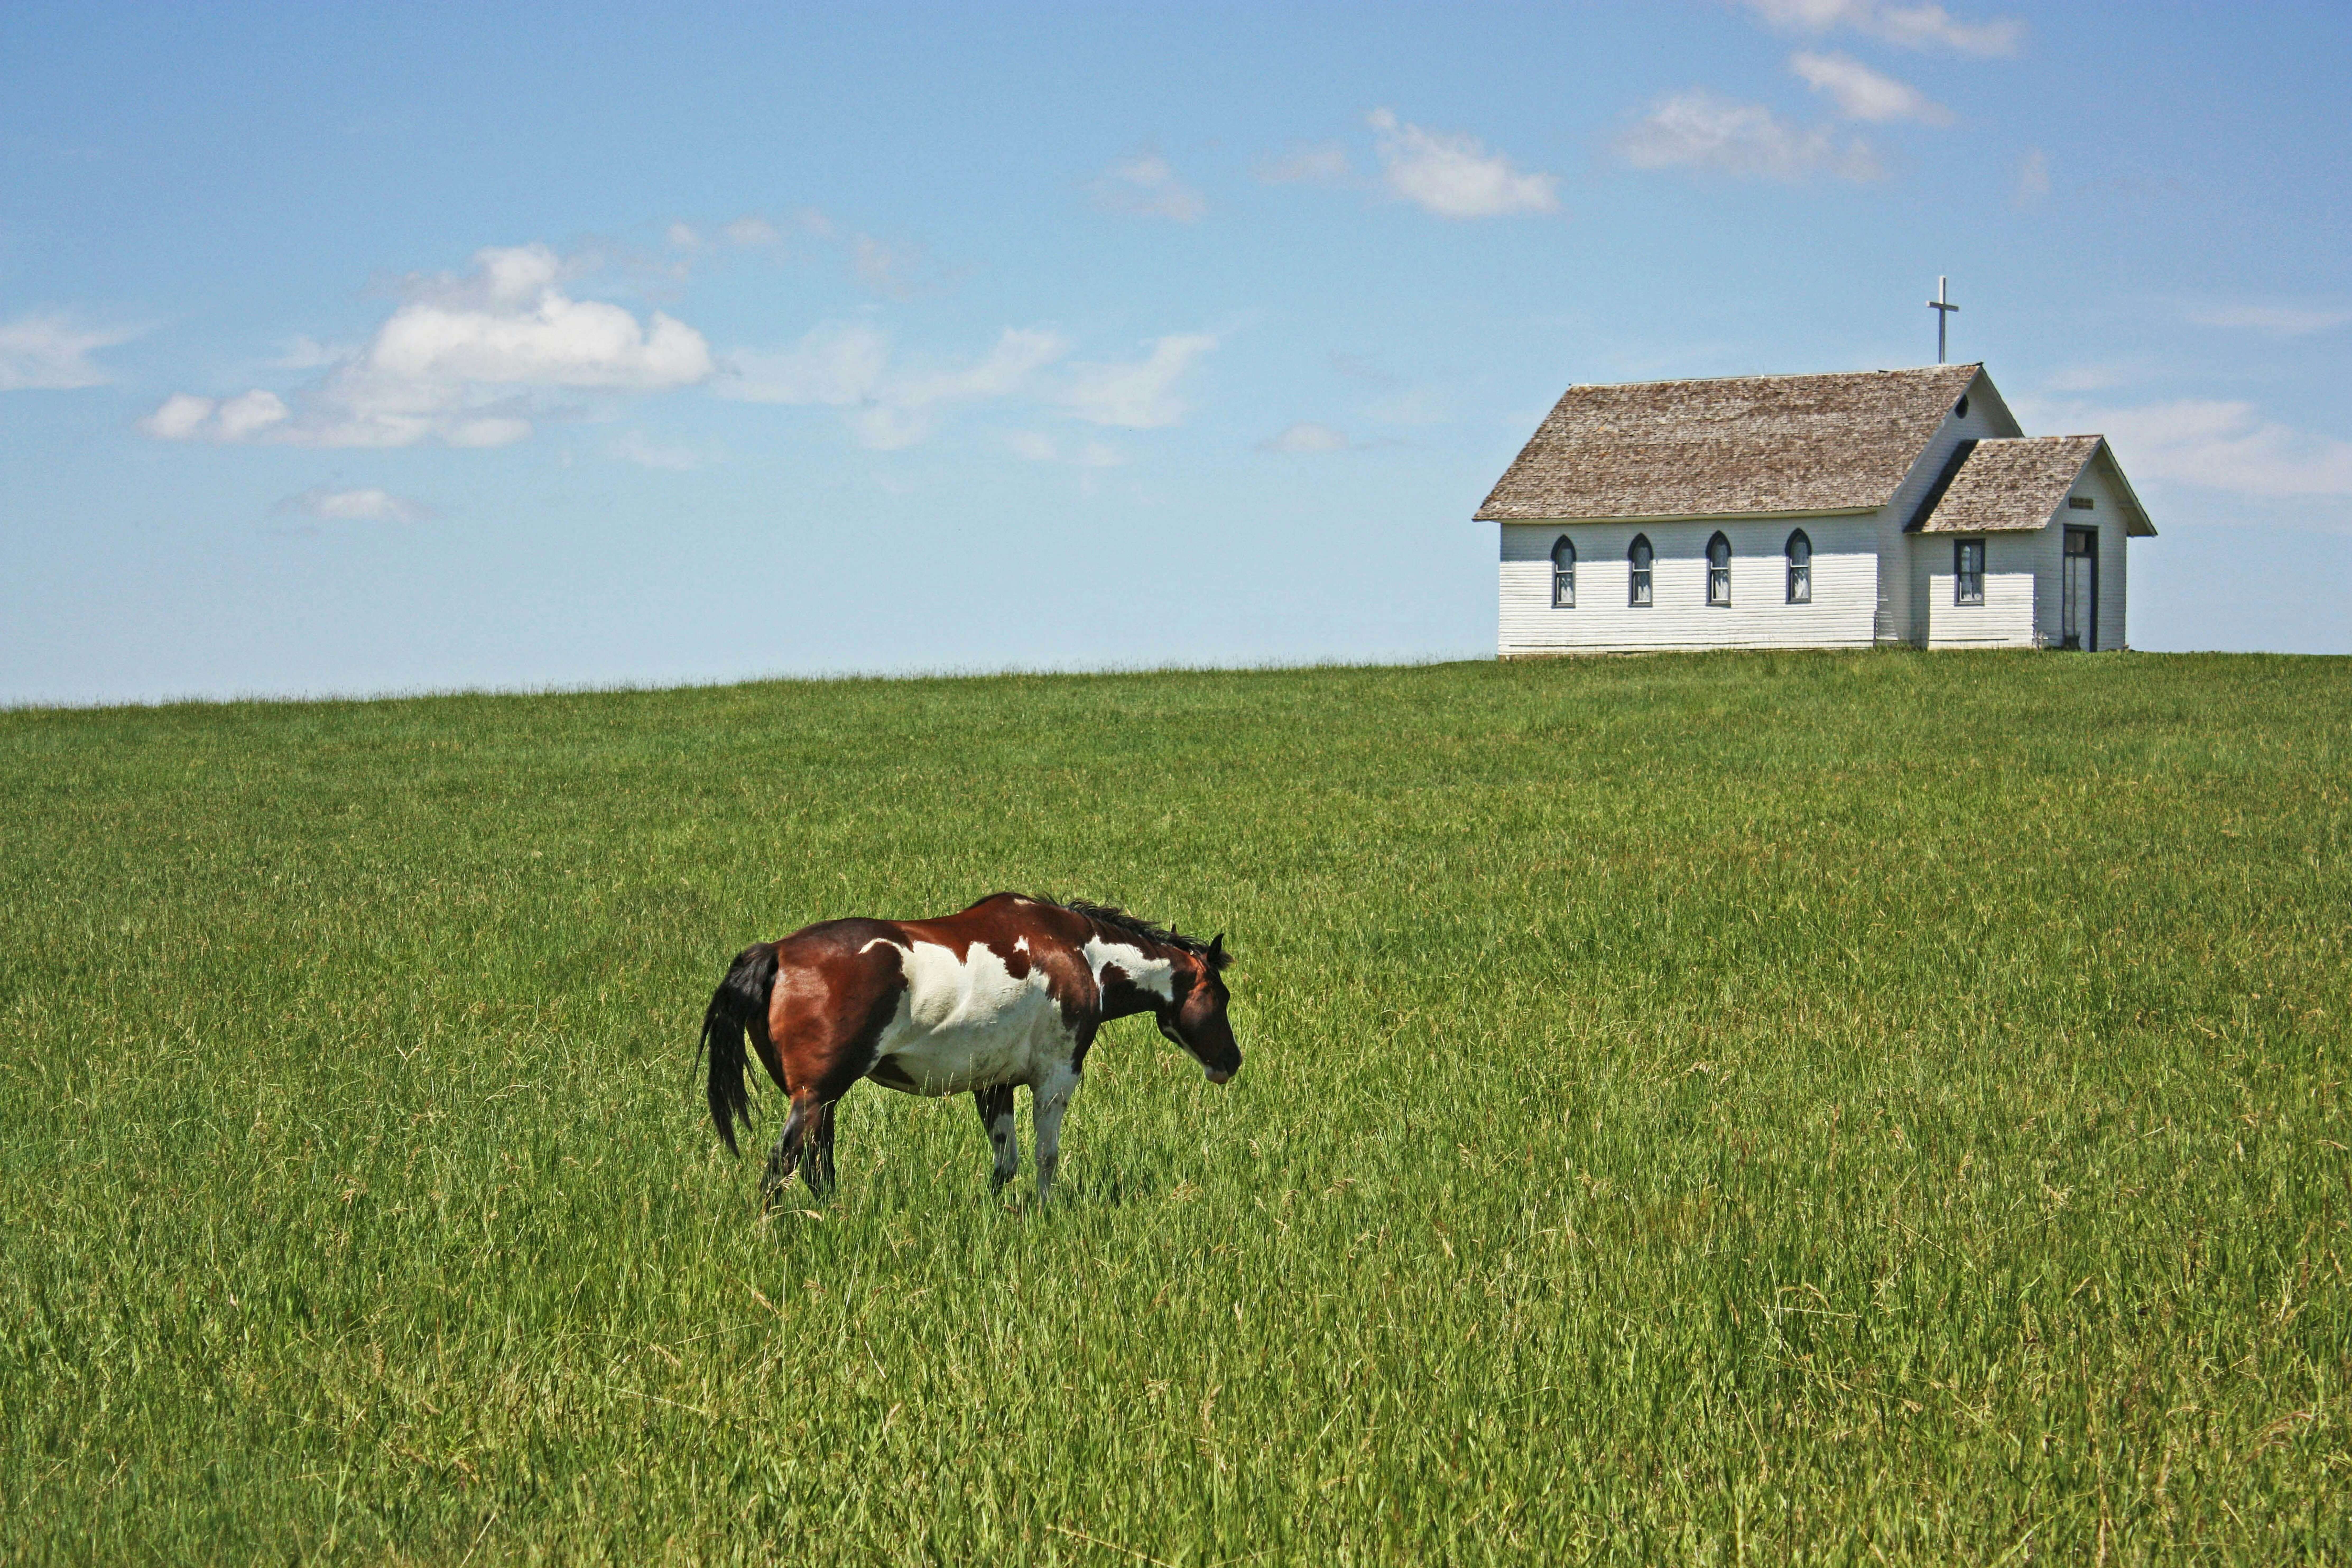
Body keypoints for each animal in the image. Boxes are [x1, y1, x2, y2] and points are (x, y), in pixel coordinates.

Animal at [697, 893, 1241, 1205]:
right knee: (780, 1167)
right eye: (1221, 996)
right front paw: (1046, 1211)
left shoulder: (995, 1085)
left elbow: (1006, 1161)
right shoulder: (1056, 1078)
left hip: (823, 1101)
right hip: (815, 1098)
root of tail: (776, 952)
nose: (1231, 1062)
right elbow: (1046, 1156)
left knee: (817, 1167)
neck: (1079, 954)